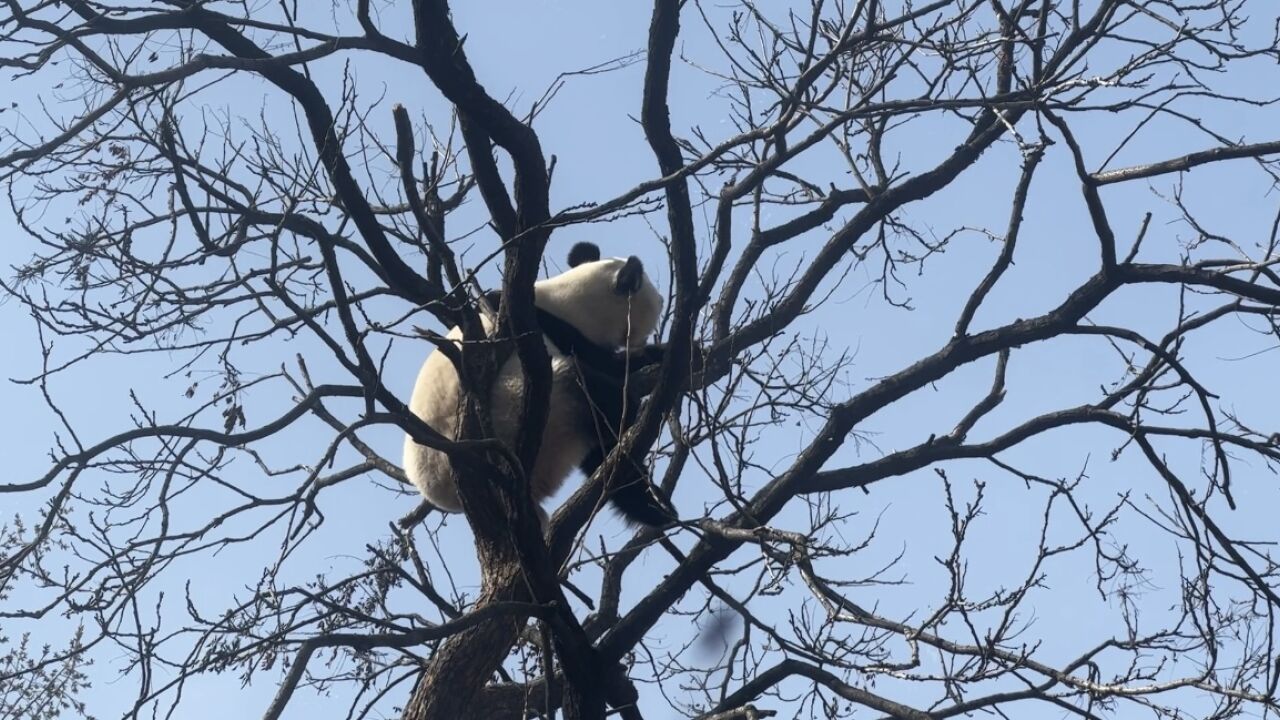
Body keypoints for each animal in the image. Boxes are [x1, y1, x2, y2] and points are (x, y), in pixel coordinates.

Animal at [404, 240, 675, 527]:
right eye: (656, 299)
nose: (661, 300)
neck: (570, 302)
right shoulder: (547, 328)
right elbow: (605, 364)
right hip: (519, 410)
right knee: (596, 403)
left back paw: (651, 507)